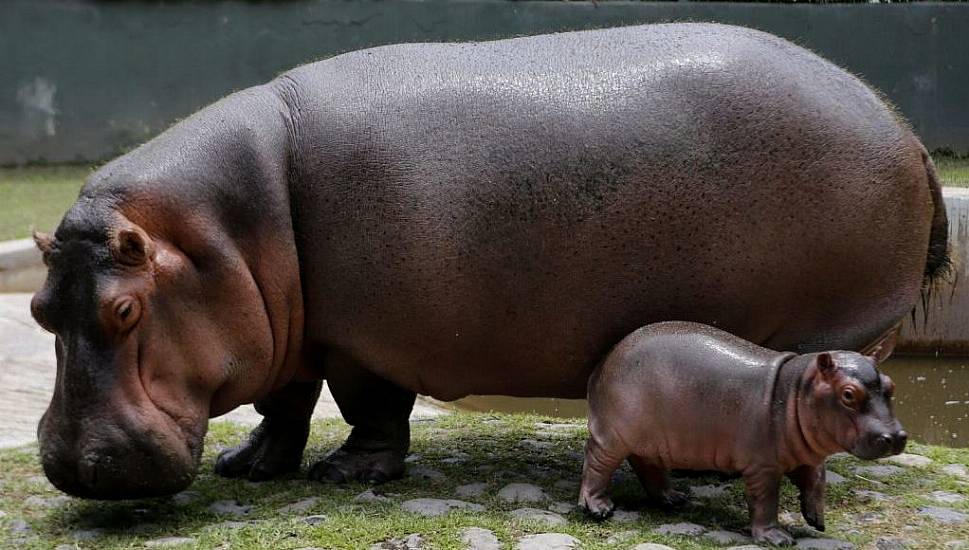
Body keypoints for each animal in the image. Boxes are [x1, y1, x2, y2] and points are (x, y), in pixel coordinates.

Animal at [30, 22, 944, 500]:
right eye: (40, 312)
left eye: (124, 309)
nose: (74, 468)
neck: (221, 229)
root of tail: (904, 129)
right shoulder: (288, 329)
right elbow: (283, 401)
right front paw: (250, 466)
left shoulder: (361, 338)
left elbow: (368, 406)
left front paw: (347, 473)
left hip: (837, 326)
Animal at [584, 322, 908, 544]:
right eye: (848, 394)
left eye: (891, 385)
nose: (895, 437)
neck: (795, 390)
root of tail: (604, 361)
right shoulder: (763, 466)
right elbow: (765, 500)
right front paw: (778, 539)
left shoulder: (808, 455)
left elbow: (817, 480)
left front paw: (818, 521)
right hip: (613, 435)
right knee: (597, 462)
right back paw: (599, 509)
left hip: (652, 438)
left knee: (646, 464)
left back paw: (674, 499)